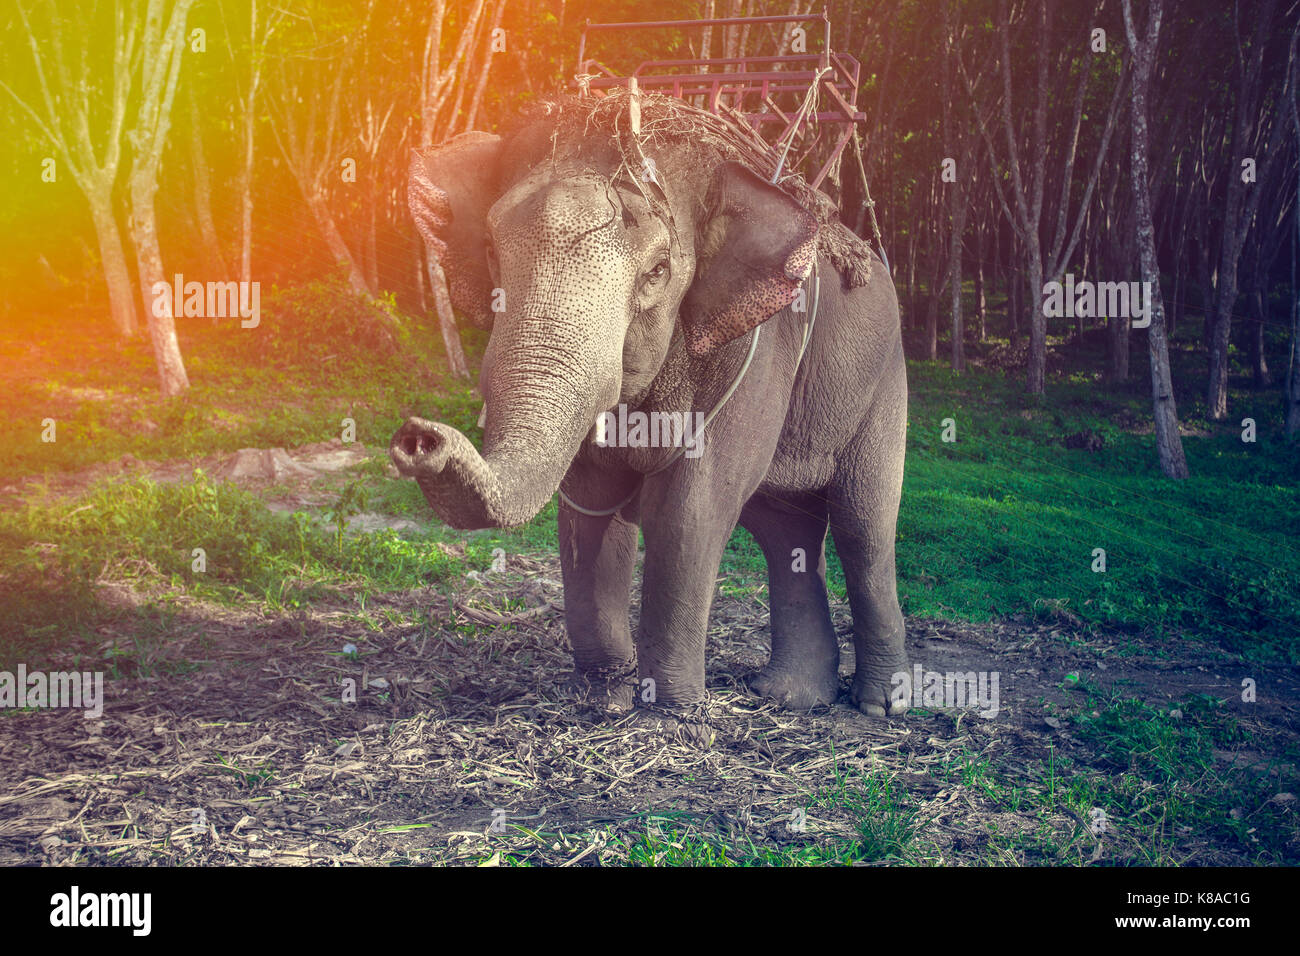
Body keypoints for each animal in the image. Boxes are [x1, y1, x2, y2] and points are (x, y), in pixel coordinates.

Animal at [390, 93, 909, 738]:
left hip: (884, 382)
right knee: (783, 528)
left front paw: (669, 711)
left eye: (658, 271)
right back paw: (789, 697)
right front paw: (605, 696)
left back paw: (880, 706)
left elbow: (689, 512)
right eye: (489, 253)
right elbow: (590, 506)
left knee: (864, 526)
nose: (419, 437)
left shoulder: (758, 350)